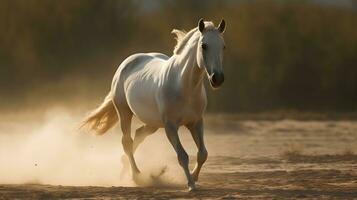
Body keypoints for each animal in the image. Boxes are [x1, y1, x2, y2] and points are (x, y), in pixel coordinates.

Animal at [80, 18, 225, 191]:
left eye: (223, 46)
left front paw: (194, 178)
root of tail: (126, 63)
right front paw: (190, 184)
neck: (183, 86)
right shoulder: (170, 126)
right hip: (124, 112)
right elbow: (182, 156)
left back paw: (125, 168)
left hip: (153, 123)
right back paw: (137, 176)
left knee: (138, 135)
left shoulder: (195, 122)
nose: (217, 78)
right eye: (204, 45)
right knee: (127, 142)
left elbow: (202, 154)